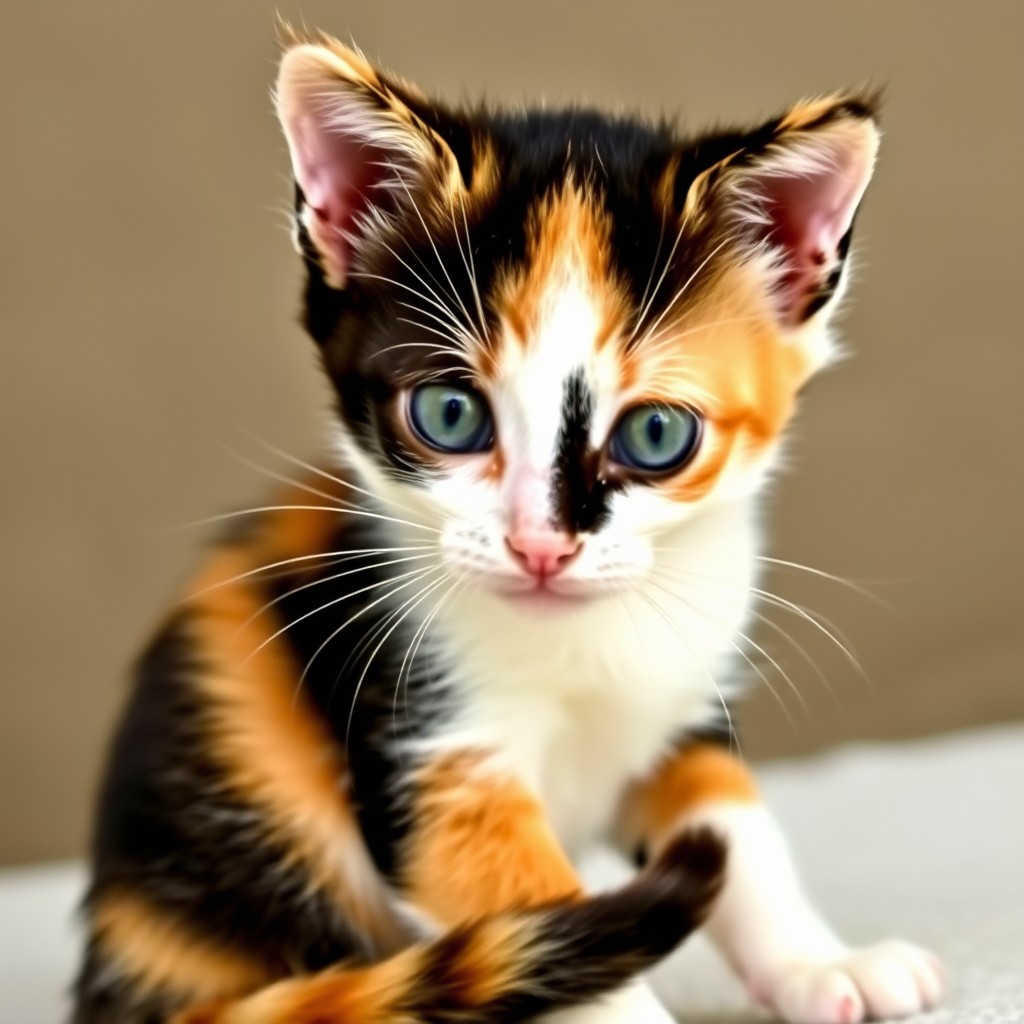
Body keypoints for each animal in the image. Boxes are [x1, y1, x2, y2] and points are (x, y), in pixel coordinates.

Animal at [74, 29, 942, 1024]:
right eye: (450, 415)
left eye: (656, 434)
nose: (541, 545)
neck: (581, 643)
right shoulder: (420, 744)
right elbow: (545, 926)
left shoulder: (682, 703)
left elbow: (739, 831)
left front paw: (824, 962)